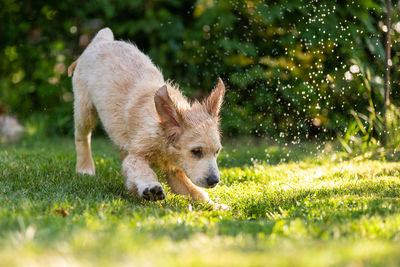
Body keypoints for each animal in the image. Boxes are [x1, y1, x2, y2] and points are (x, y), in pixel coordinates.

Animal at [67, 27, 227, 207]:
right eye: (196, 151)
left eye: (217, 152)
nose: (214, 181)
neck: (160, 130)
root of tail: (102, 41)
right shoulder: (136, 156)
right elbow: (143, 171)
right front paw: (151, 187)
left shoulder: (174, 171)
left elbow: (195, 192)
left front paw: (216, 206)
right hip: (84, 107)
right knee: (82, 137)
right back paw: (85, 168)